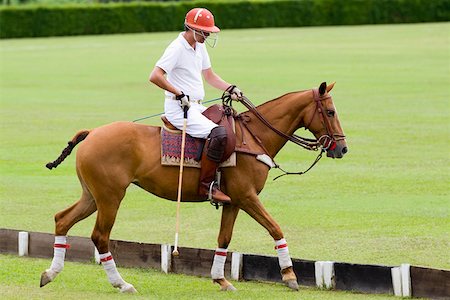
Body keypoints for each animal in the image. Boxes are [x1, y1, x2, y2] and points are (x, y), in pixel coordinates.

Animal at [40, 82, 346, 292]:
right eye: (331, 111)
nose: (342, 148)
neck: (254, 137)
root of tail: (91, 133)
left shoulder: (234, 201)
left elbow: (224, 239)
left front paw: (220, 279)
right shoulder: (247, 197)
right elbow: (276, 228)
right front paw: (290, 276)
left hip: (92, 195)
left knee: (62, 219)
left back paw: (50, 273)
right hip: (110, 196)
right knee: (100, 236)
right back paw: (122, 284)